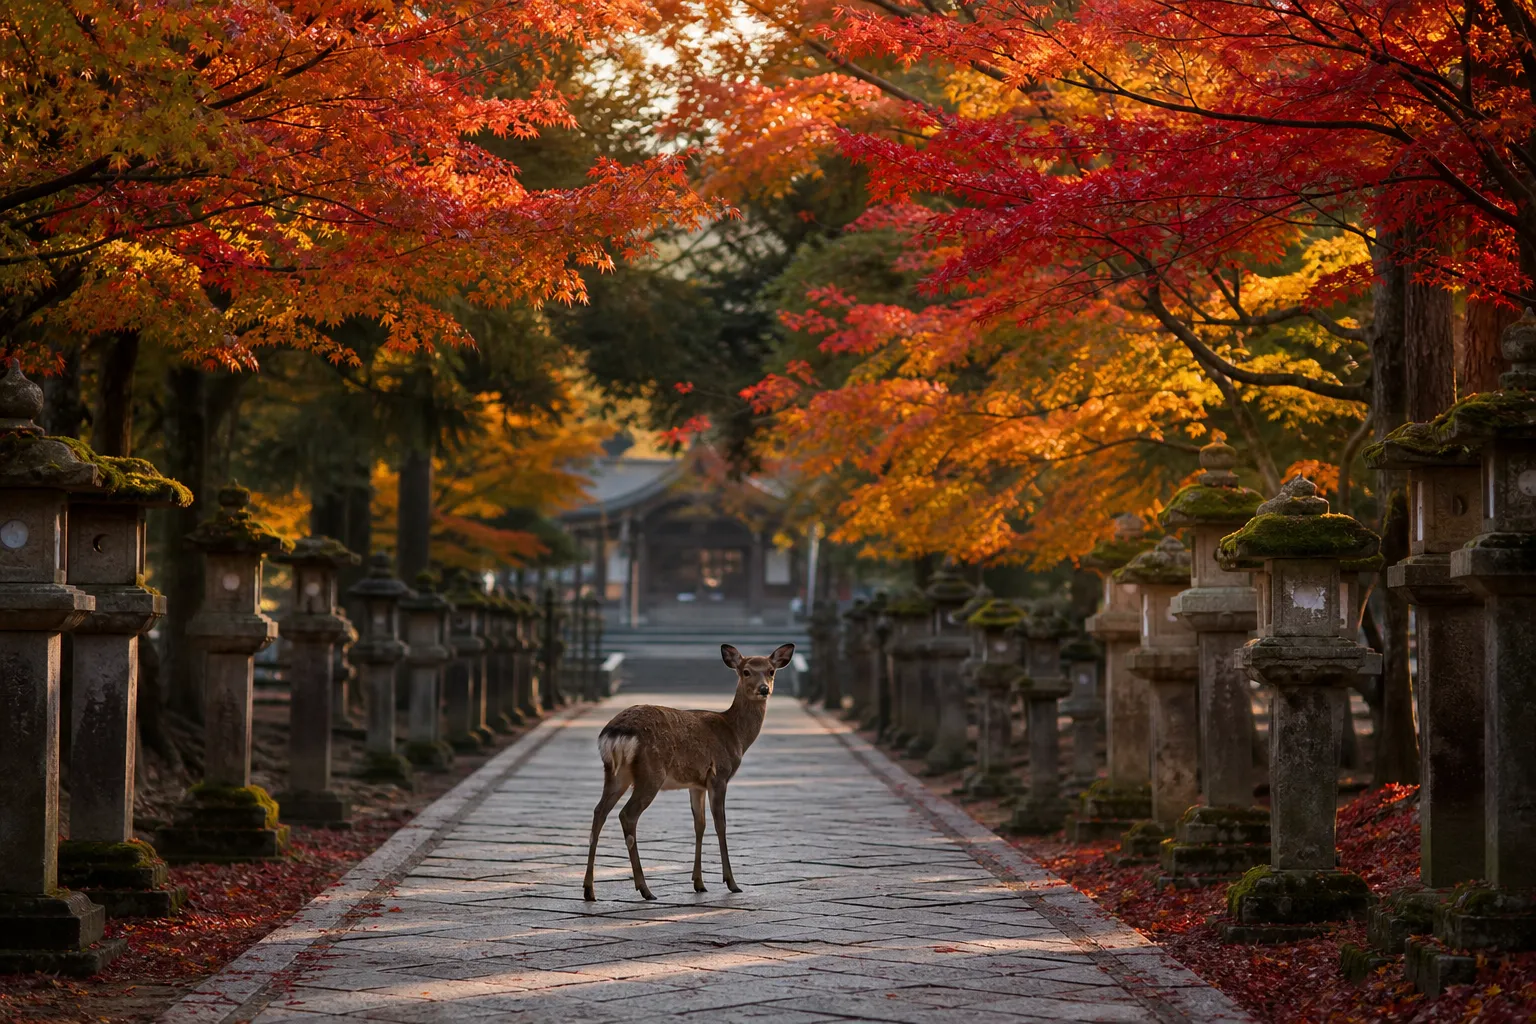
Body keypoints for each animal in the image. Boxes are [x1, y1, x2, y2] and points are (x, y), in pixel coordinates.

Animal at [582, 642, 795, 901]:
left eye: (771, 671)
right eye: (746, 671)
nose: (764, 689)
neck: (735, 734)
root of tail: (615, 733)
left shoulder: (696, 784)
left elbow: (699, 824)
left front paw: (699, 883)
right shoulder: (719, 774)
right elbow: (721, 823)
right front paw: (731, 882)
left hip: (615, 773)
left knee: (598, 812)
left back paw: (589, 890)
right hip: (651, 773)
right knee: (627, 815)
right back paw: (645, 889)